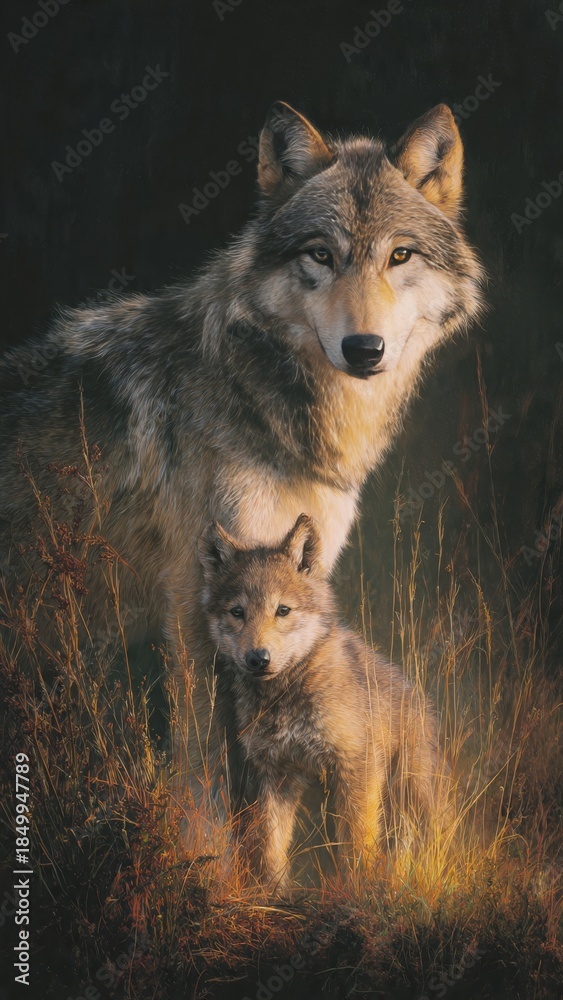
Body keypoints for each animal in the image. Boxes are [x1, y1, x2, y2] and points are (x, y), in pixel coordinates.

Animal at [0, 101, 483, 796]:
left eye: (400, 255)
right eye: (320, 254)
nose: (365, 350)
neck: (264, 398)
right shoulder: (192, 606)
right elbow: (201, 772)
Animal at [198, 513, 448, 892]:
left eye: (282, 610)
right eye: (237, 612)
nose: (258, 658)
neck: (287, 694)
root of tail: (420, 698)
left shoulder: (357, 768)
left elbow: (358, 844)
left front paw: (360, 891)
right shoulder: (276, 776)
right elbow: (271, 846)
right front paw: (274, 894)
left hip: (407, 794)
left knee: (408, 844)